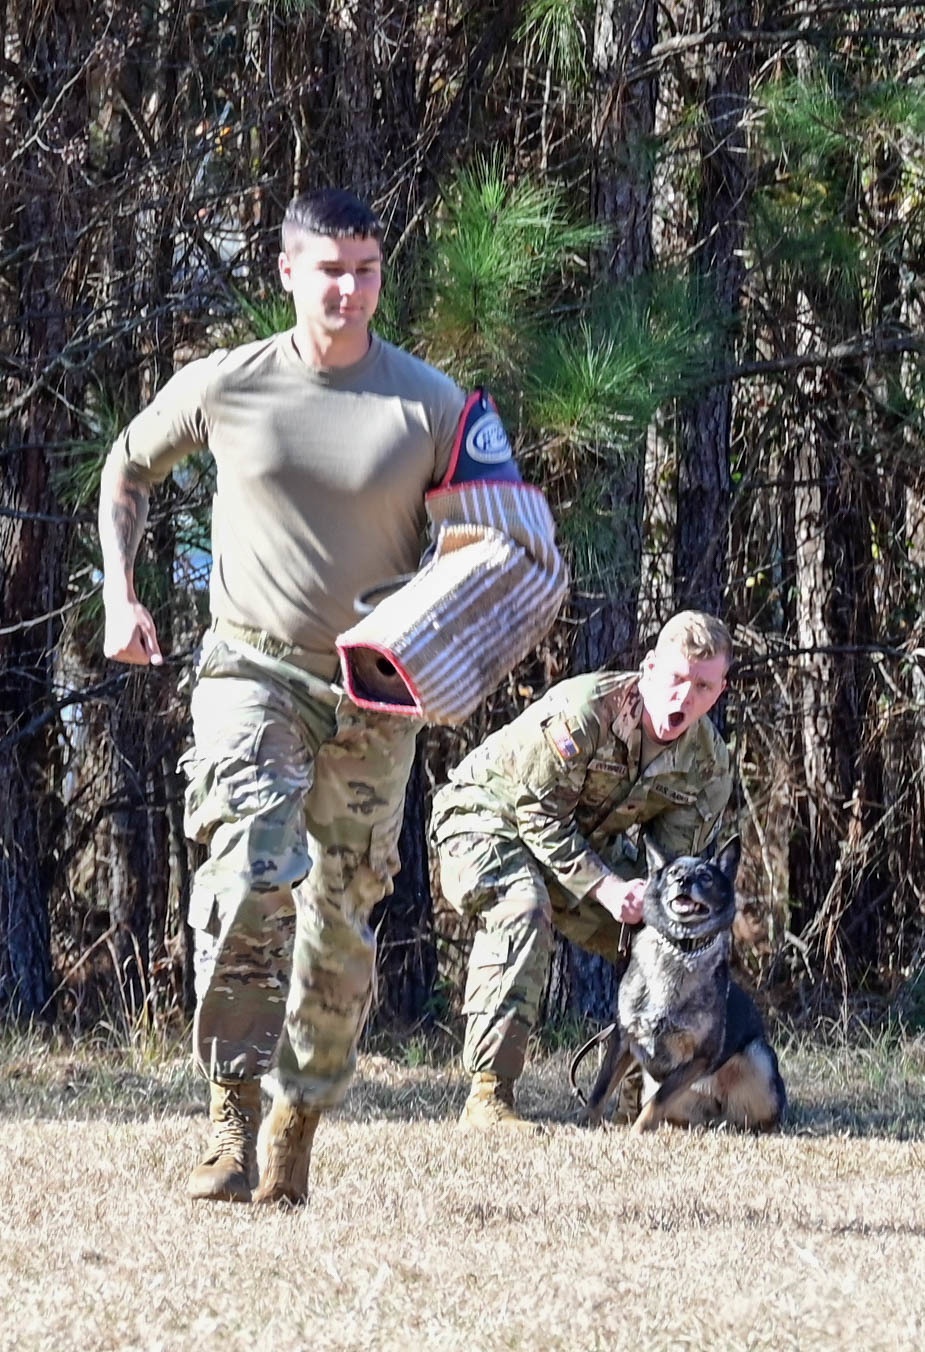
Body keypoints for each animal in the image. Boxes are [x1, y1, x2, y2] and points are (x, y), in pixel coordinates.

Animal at [570, 838, 789, 1135]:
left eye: (706, 877)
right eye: (674, 873)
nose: (683, 881)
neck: (680, 951)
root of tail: (714, 1113)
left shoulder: (698, 1058)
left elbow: (658, 1100)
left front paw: (637, 1130)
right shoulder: (623, 1039)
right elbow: (600, 1089)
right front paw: (584, 1121)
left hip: (758, 1058)